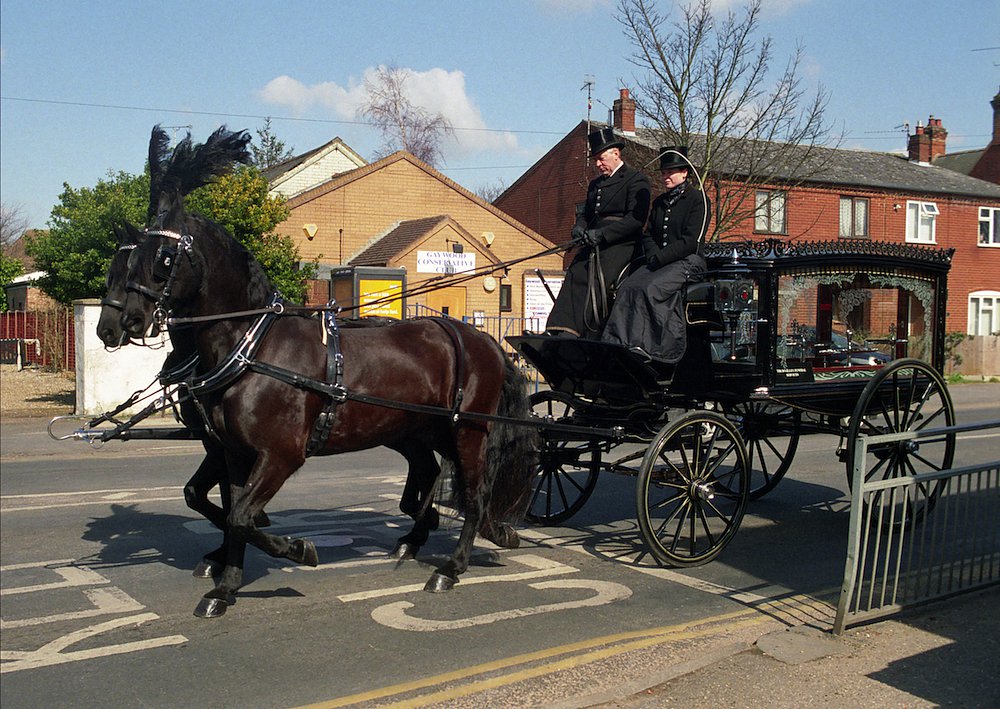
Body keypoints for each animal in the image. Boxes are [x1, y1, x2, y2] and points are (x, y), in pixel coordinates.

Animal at [120, 129, 540, 620]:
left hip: (468, 431)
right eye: (131, 257)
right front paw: (226, 586)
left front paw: (297, 549)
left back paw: (451, 567)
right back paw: (422, 538)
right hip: (422, 429)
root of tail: (481, 339)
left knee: (475, 495)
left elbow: (241, 516)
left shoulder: (280, 455)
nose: (127, 320)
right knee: (433, 475)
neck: (254, 347)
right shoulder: (233, 453)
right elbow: (231, 515)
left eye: (165, 257)